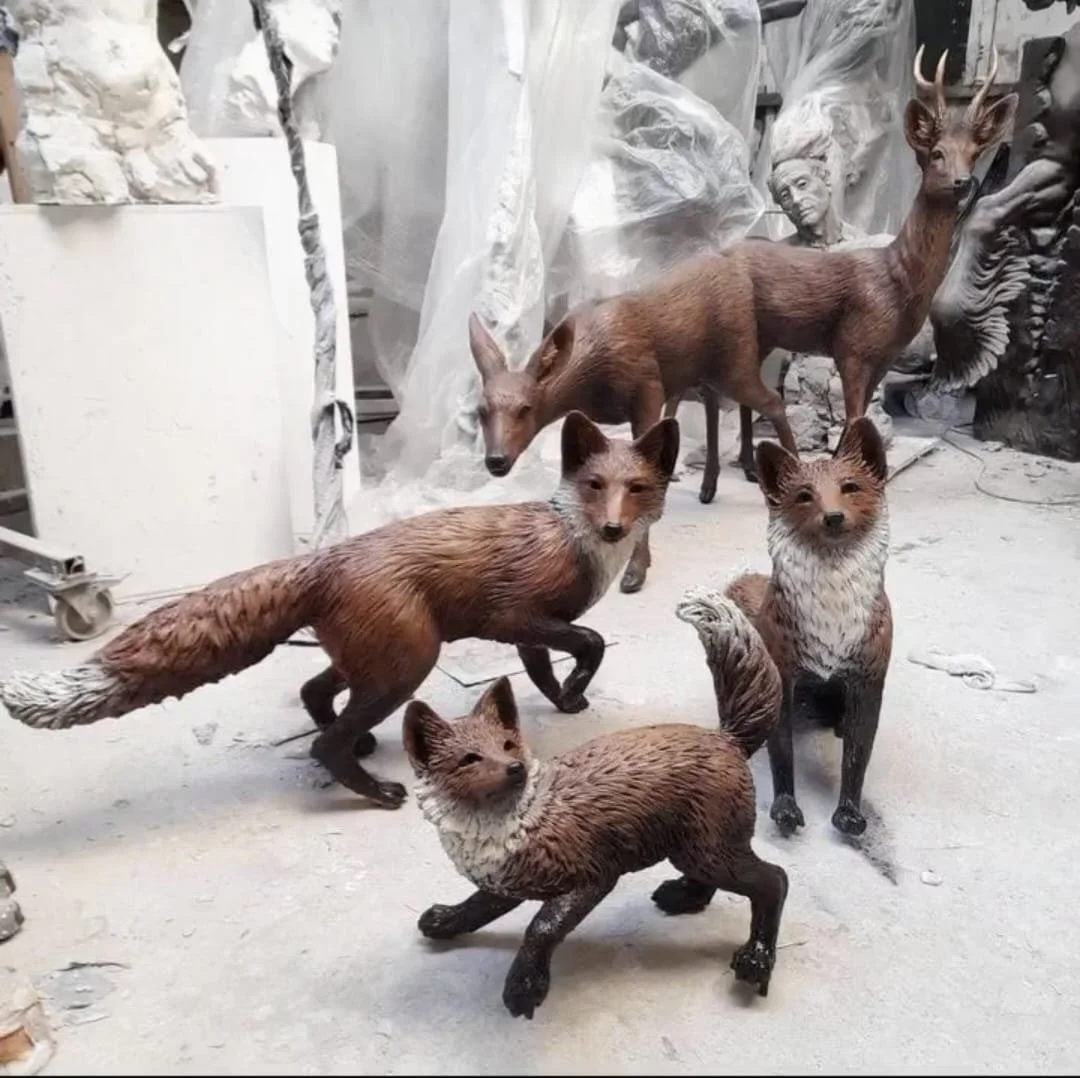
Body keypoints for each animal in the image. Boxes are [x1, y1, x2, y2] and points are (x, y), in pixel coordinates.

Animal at [0, 412, 679, 810]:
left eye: (637, 489)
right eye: (594, 487)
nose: (615, 527)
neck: (572, 538)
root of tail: (325, 559)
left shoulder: (532, 630)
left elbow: (545, 669)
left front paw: (565, 699)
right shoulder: (516, 616)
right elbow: (590, 641)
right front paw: (577, 688)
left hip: (369, 659)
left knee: (312, 693)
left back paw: (361, 747)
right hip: (407, 664)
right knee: (322, 743)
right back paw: (375, 789)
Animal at [404, 591, 788, 1020]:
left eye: (507, 745)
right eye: (468, 759)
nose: (515, 769)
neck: (502, 830)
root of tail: (727, 738)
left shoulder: (594, 875)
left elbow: (540, 928)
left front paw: (524, 986)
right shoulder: (504, 881)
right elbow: (476, 908)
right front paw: (446, 920)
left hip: (707, 849)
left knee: (775, 880)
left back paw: (757, 959)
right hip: (694, 847)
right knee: (720, 879)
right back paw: (686, 897)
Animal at [726, 415, 893, 838]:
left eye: (850, 487)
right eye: (804, 496)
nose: (833, 516)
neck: (831, 621)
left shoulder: (868, 681)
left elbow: (858, 757)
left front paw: (849, 814)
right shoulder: (783, 678)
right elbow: (781, 754)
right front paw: (785, 810)